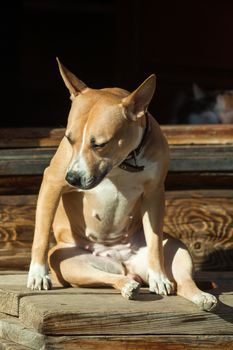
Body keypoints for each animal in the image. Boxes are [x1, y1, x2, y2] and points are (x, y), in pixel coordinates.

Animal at [27, 58, 218, 310]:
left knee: (183, 282)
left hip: (177, 247)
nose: (73, 179)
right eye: (69, 139)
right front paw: (38, 275)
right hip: (66, 259)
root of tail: (124, 263)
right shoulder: (53, 182)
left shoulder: (154, 194)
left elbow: (155, 242)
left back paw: (199, 296)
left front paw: (159, 277)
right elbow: (40, 233)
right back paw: (127, 285)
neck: (123, 162)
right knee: (109, 277)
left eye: (100, 144)